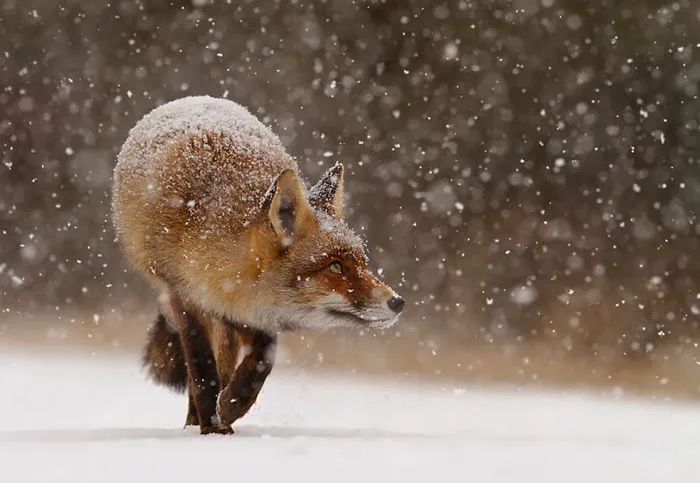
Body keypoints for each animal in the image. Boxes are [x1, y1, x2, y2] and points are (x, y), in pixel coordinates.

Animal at [112, 96, 404, 434]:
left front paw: (231, 406)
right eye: (335, 267)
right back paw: (196, 422)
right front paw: (211, 427)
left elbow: (263, 359)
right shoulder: (183, 298)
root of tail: (193, 99)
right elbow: (201, 371)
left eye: (362, 262)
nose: (398, 302)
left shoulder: (250, 312)